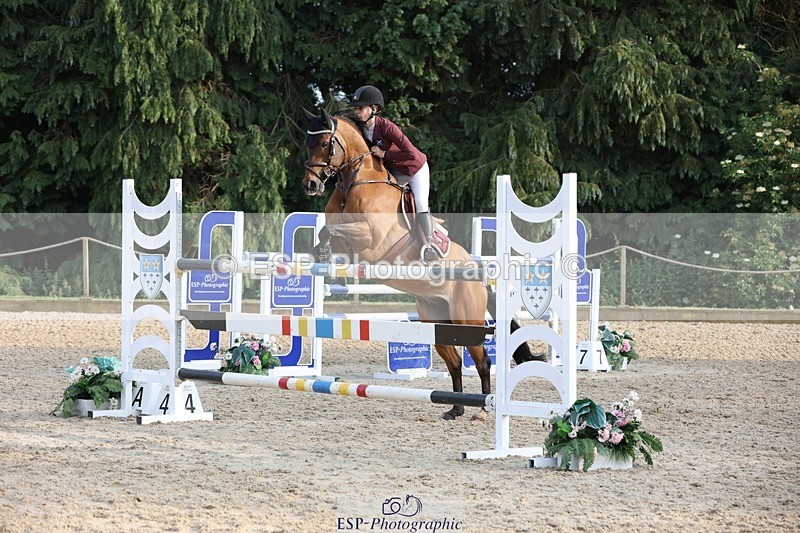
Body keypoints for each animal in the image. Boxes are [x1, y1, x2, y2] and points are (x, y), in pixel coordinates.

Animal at [300, 107, 542, 419]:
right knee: (454, 361)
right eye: (307, 144)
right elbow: (325, 232)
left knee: (482, 361)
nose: (310, 185)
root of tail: (480, 279)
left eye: (324, 144)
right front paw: (322, 255)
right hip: (437, 319)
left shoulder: (372, 239)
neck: (356, 181)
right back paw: (455, 408)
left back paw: (482, 410)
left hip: (467, 320)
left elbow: (333, 231)